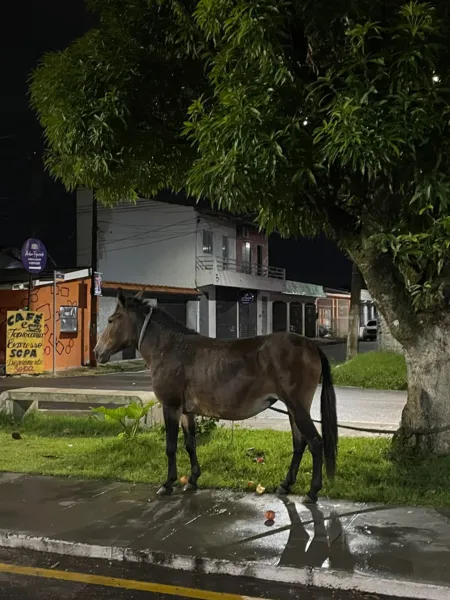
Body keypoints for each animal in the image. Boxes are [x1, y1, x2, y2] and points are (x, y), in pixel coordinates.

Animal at [95, 290, 336, 502]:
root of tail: (311, 345)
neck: (170, 347)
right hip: (293, 408)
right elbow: (190, 443)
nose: (97, 352)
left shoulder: (170, 406)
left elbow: (171, 446)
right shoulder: (186, 411)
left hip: (297, 406)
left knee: (315, 443)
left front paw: (168, 483)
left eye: (110, 320)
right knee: (299, 443)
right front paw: (192, 479)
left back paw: (312, 492)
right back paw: (285, 485)